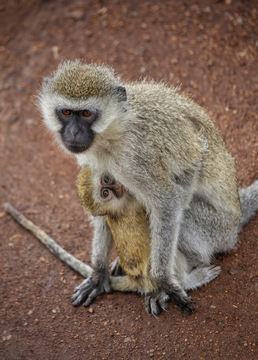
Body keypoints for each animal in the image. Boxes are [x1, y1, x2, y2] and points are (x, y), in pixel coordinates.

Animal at [73, 166, 221, 316]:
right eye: (105, 193)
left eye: (106, 179)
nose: (117, 186)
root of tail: (137, 280)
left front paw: (99, 275)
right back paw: (188, 281)